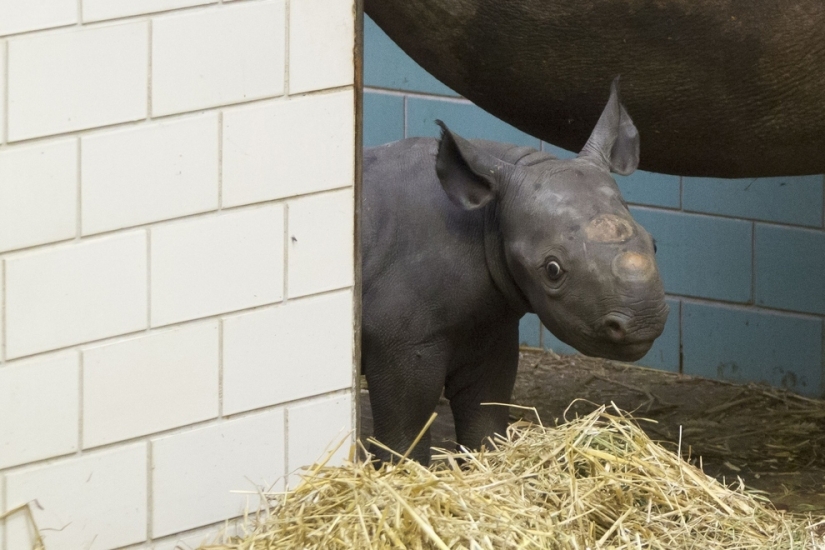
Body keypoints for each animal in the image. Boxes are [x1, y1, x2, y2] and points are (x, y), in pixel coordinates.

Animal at [362, 78, 668, 466]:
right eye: (552, 270)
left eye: (654, 244)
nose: (644, 321)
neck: (489, 218)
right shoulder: (401, 342)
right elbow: (403, 434)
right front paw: (400, 469)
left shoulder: (489, 326)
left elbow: (486, 417)